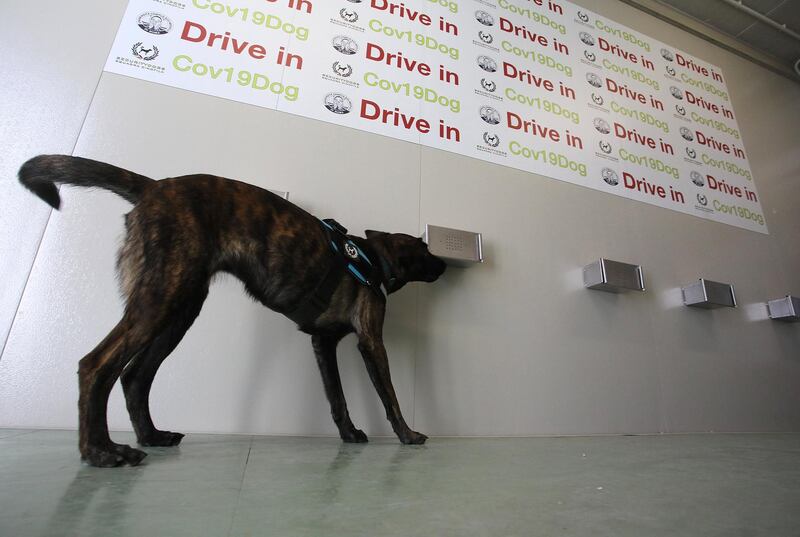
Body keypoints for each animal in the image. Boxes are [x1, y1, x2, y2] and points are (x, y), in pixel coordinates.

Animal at [20, 154, 444, 464]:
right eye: (425, 251)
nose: (443, 264)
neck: (373, 259)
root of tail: (155, 186)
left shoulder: (323, 344)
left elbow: (336, 398)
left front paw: (349, 434)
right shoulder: (370, 341)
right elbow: (389, 396)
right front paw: (407, 435)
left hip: (180, 310)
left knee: (135, 376)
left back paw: (151, 437)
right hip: (161, 299)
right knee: (97, 364)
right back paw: (101, 451)